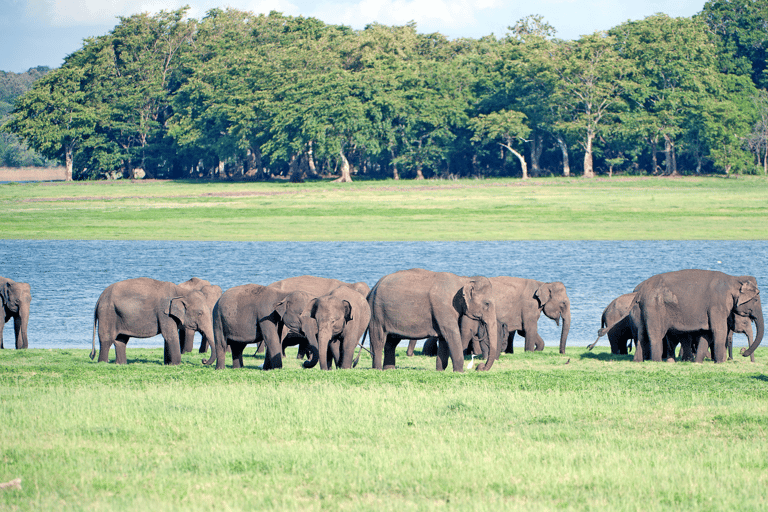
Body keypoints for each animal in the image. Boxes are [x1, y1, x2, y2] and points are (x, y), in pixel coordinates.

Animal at [367, 268, 498, 372]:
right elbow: (452, 334)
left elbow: (444, 338)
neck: (463, 279)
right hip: (376, 312)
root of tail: (373, 288)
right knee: (379, 339)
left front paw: (440, 370)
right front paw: (460, 372)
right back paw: (378, 369)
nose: (480, 367)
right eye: (487, 303)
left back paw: (390, 369)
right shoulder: (444, 307)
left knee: (391, 342)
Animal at [629, 270, 763, 363]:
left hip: (642, 309)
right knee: (656, 334)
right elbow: (719, 330)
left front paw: (699, 362)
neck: (734, 279)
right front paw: (720, 362)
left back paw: (638, 361)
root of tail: (639, 292)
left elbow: (707, 333)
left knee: (642, 334)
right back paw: (657, 361)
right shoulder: (717, 304)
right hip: (654, 307)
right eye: (756, 299)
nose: (743, 352)